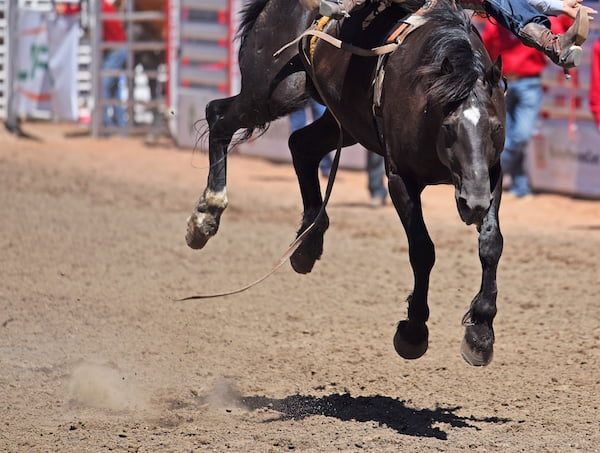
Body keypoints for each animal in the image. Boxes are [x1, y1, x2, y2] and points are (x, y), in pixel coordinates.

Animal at [185, 0, 504, 366]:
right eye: (450, 127)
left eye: (495, 127)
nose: (473, 204)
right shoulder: (400, 178)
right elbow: (422, 250)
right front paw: (413, 331)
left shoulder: (491, 175)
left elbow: (491, 245)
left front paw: (481, 332)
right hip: (271, 93)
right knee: (218, 115)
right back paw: (206, 214)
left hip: (344, 121)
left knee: (300, 145)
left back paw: (307, 242)